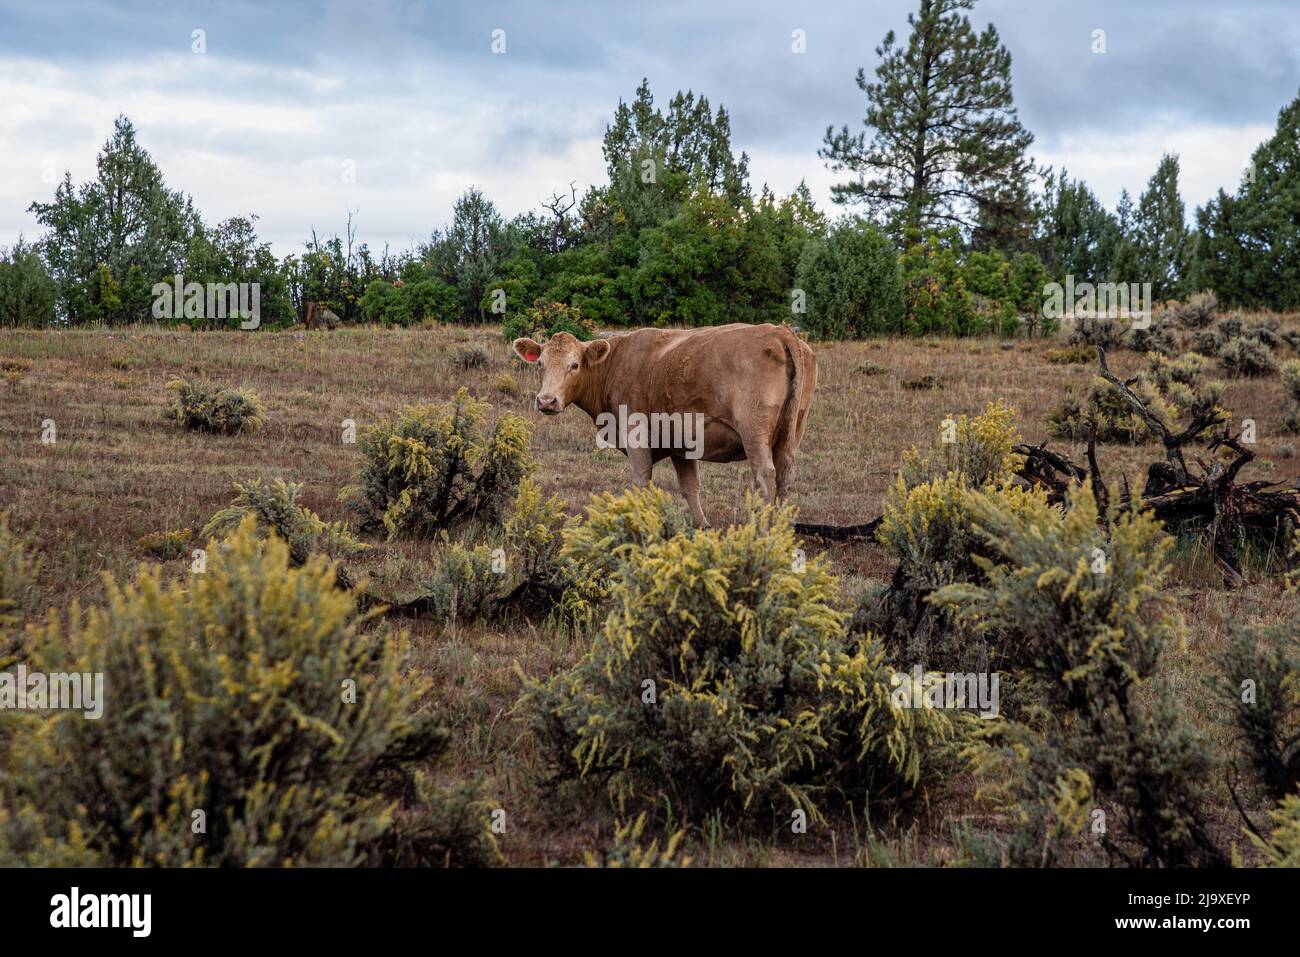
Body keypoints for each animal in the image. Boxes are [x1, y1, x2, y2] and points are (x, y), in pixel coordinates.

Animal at [512, 323, 816, 526]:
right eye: (540, 363)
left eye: (574, 365)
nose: (547, 400)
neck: (616, 363)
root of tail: (780, 332)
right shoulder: (681, 443)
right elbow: (690, 486)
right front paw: (701, 526)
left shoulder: (636, 436)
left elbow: (640, 481)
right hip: (792, 431)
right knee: (784, 475)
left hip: (754, 431)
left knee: (765, 476)